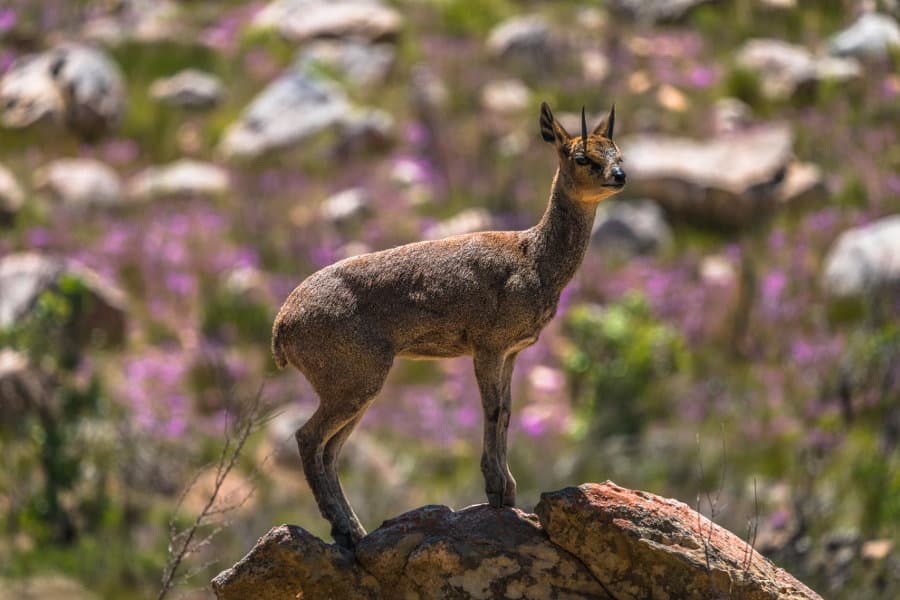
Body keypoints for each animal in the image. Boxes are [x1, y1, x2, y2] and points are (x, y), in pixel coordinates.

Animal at [272, 102, 626, 548]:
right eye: (581, 156)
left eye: (618, 151)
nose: (620, 176)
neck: (534, 259)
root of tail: (281, 326)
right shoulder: (488, 345)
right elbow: (492, 410)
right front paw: (497, 491)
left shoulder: (512, 351)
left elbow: (508, 411)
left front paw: (509, 490)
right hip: (354, 379)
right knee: (308, 438)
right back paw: (346, 530)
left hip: (354, 386)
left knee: (330, 449)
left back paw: (352, 528)